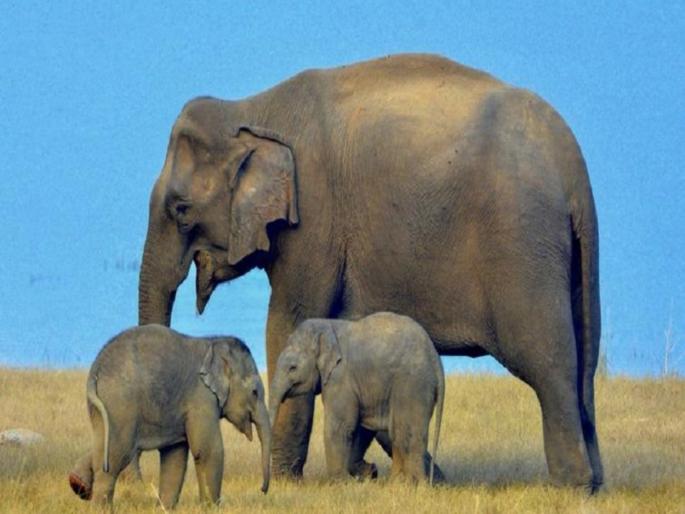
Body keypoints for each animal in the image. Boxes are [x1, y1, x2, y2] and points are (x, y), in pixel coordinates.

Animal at [67, 325, 270, 508]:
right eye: (254, 393)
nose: (262, 489)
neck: (213, 342)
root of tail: (96, 370)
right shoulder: (201, 397)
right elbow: (208, 450)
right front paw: (212, 508)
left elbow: (176, 455)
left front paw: (165, 508)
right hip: (120, 405)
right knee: (119, 453)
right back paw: (101, 508)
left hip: (104, 407)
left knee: (105, 445)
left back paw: (78, 484)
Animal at [269, 313, 444, 483]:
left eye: (293, 368)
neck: (326, 327)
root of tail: (436, 360)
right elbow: (358, 426)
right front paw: (368, 473)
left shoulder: (340, 377)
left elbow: (340, 425)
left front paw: (341, 482)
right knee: (398, 431)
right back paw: (397, 483)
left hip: (412, 383)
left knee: (405, 431)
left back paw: (414, 485)